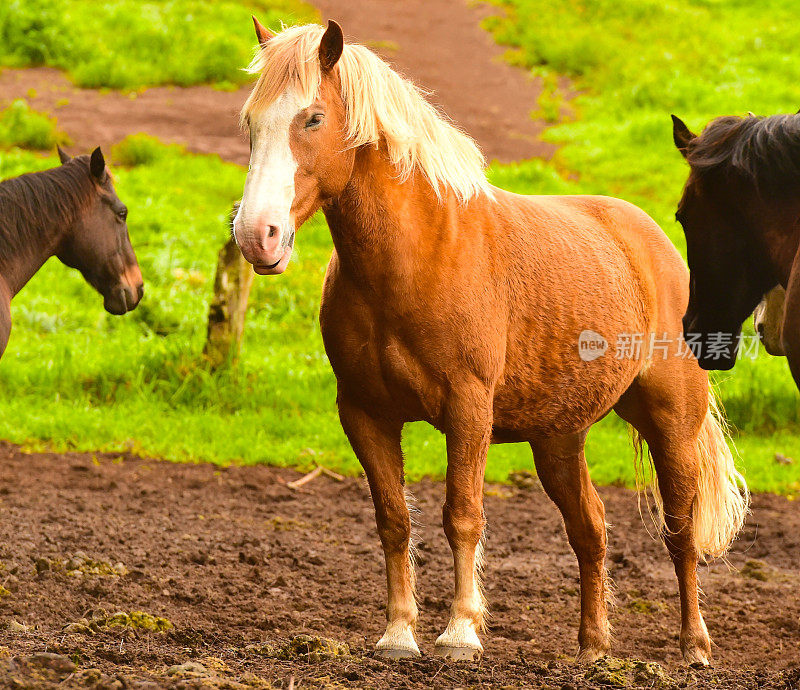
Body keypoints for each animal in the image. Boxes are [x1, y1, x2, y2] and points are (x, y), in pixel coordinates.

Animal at [238, 21, 752, 664]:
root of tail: (653, 243)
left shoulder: (467, 409)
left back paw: (693, 645)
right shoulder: (364, 414)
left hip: (671, 422)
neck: (415, 258)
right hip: (558, 438)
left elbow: (463, 515)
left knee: (680, 530)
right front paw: (398, 633)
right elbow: (393, 520)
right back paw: (592, 646)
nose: (257, 236)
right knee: (591, 528)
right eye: (251, 121)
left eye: (311, 118)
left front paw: (460, 632)